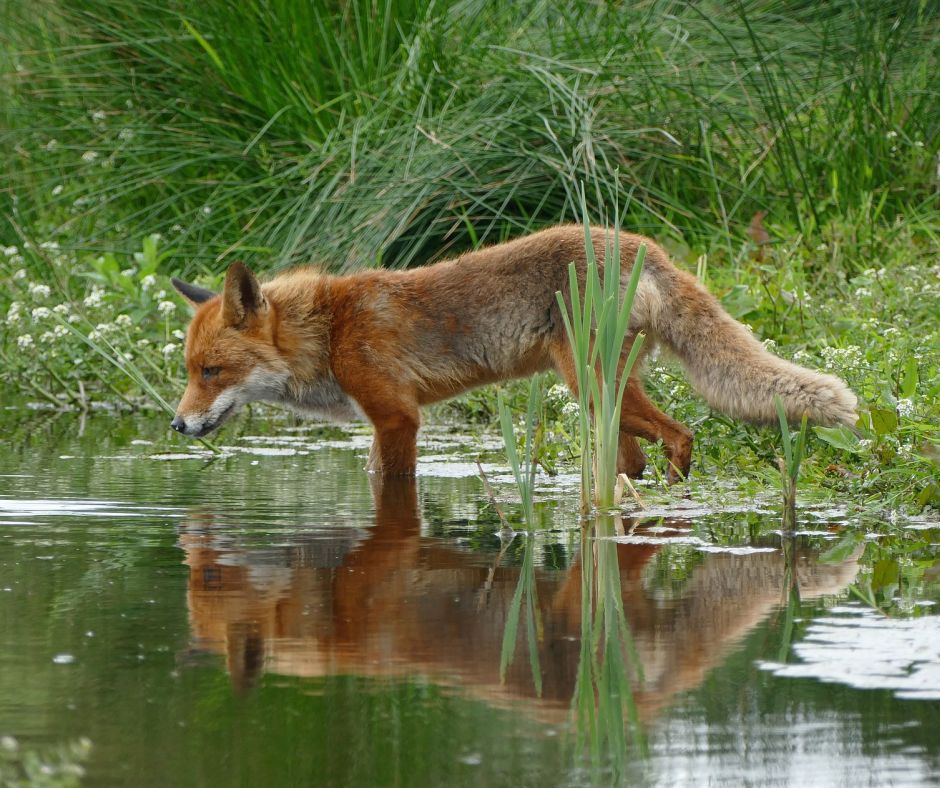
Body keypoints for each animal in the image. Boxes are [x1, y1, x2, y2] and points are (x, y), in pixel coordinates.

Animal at [169, 223, 860, 480]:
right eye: (190, 372)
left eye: (213, 371)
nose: (177, 425)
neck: (330, 331)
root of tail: (644, 245)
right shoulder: (382, 422)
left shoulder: (398, 418)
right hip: (606, 399)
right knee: (637, 457)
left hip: (591, 386)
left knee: (683, 434)